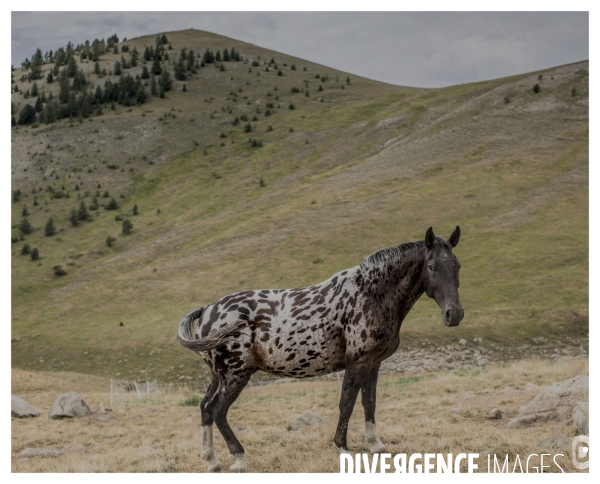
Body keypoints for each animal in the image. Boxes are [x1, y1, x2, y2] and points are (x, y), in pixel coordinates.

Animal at [176, 228, 462, 472]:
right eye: (432, 266)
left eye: (457, 265)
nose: (455, 314)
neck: (371, 293)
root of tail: (208, 310)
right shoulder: (357, 361)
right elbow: (347, 403)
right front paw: (342, 448)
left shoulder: (374, 362)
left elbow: (369, 402)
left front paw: (376, 445)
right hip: (236, 375)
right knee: (218, 411)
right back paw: (238, 459)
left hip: (219, 376)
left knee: (205, 407)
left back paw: (212, 461)